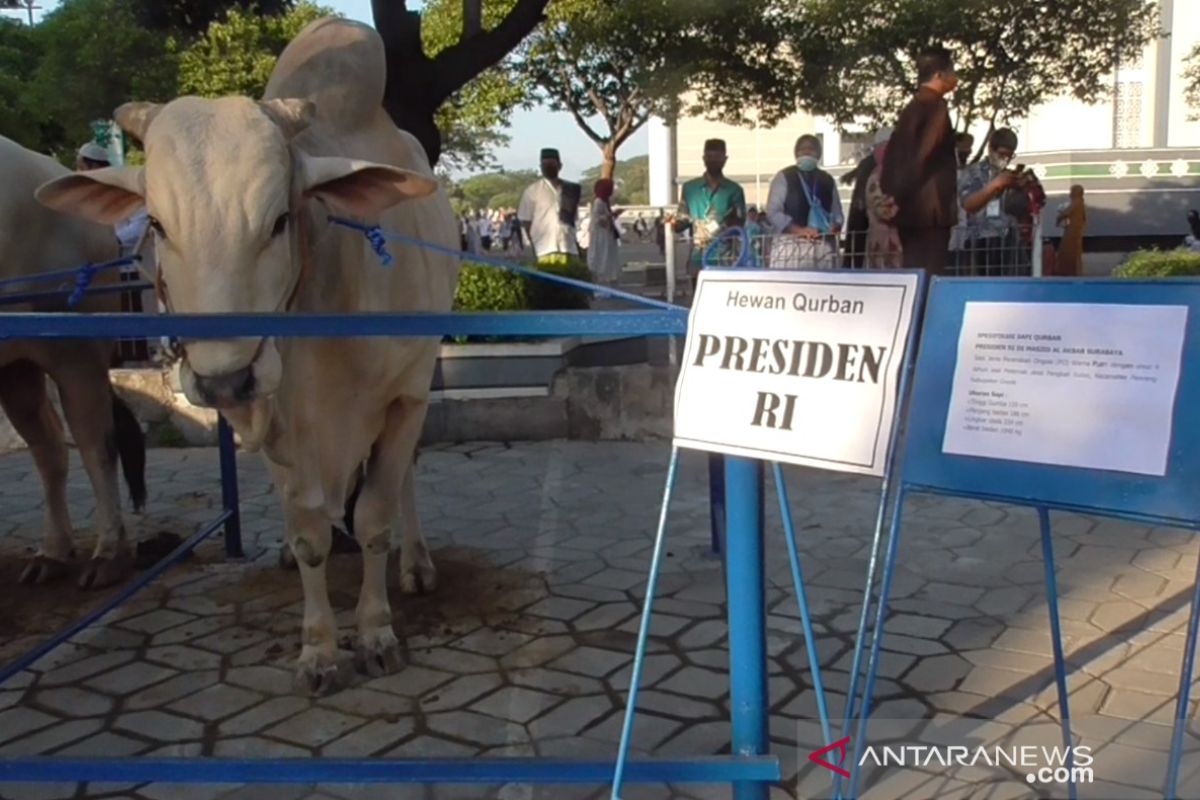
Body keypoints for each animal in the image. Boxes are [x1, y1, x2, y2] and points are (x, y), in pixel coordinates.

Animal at [0, 133, 147, 587]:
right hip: (17, 364)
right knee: (49, 447)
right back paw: (53, 552)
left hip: (74, 352)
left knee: (95, 444)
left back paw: (108, 554)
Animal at [36, 18, 458, 695]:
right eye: (156, 225)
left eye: (280, 219)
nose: (225, 379)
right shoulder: (275, 428)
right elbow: (310, 534)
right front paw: (318, 650)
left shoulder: (403, 396)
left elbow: (374, 518)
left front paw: (376, 634)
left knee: (403, 483)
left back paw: (415, 563)